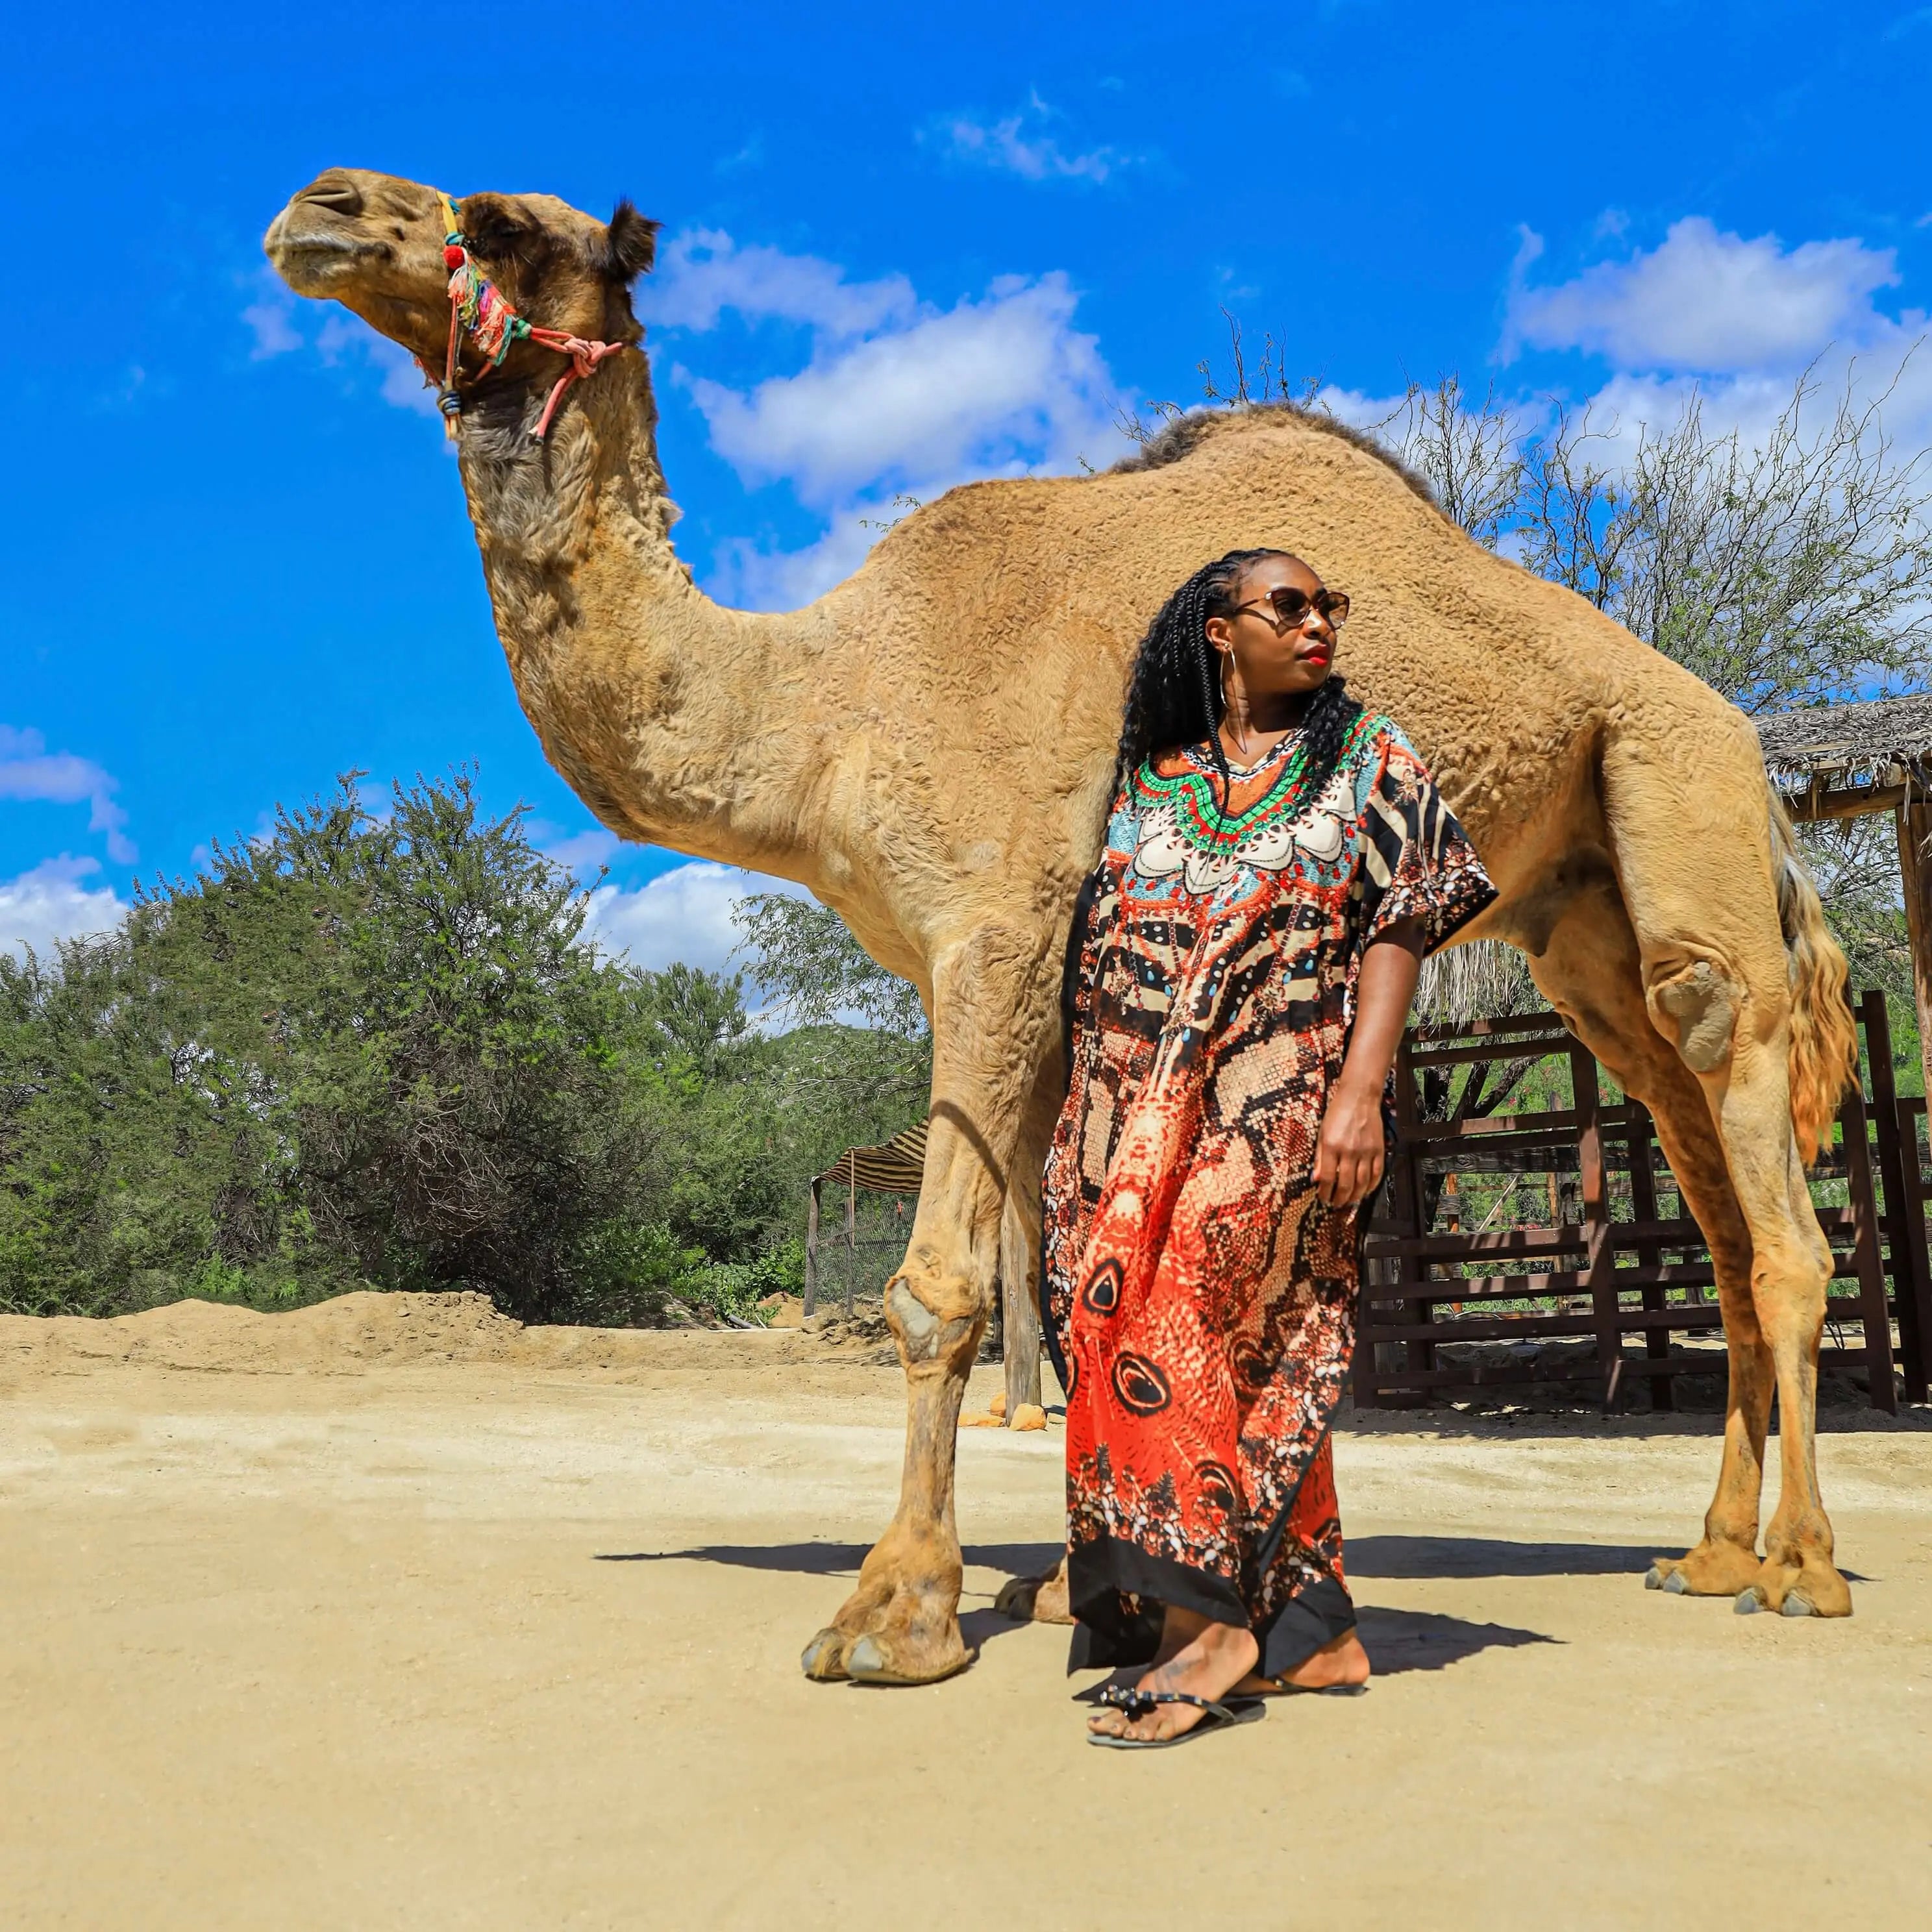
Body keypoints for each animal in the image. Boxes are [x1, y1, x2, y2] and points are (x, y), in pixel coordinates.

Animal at [266, 169, 1861, 1684]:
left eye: (502, 223)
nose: (315, 210)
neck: (832, 707)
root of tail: (1740, 736)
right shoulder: (1011, 976)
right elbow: (1047, 1262)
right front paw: (1064, 1589)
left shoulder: (998, 934)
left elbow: (936, 1288)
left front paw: (896, 1612)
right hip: (1578, 914)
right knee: (1697, 1159)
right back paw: (1711, 1552)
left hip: (1681, 791)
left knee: (1757, 1133)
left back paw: (1803, 1568)